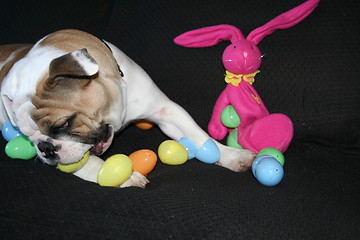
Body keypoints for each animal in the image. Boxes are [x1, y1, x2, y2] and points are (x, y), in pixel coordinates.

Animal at [0, 30, 255, 188]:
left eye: (64, 123)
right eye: (28, 136)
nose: (45, 148)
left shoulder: (166, 112)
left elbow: (199, 137)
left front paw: (231, 156)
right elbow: (89, 164)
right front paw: (122, 176)